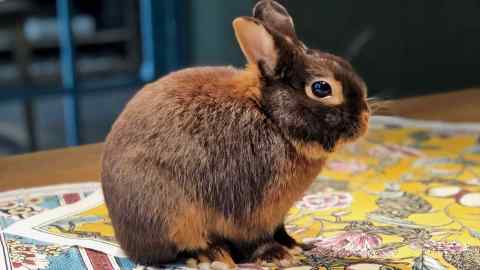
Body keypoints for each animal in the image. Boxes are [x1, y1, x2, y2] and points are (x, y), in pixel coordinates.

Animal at [102, 0, 372, 268]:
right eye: (321, 88)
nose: (364, 119)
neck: (270, 116)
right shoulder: (249, 211)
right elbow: (254, 238)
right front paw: (278, 256)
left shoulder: (276, 214)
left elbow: (279, 230)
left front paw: (294, 246)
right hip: (169, 214)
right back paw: (210, 254)